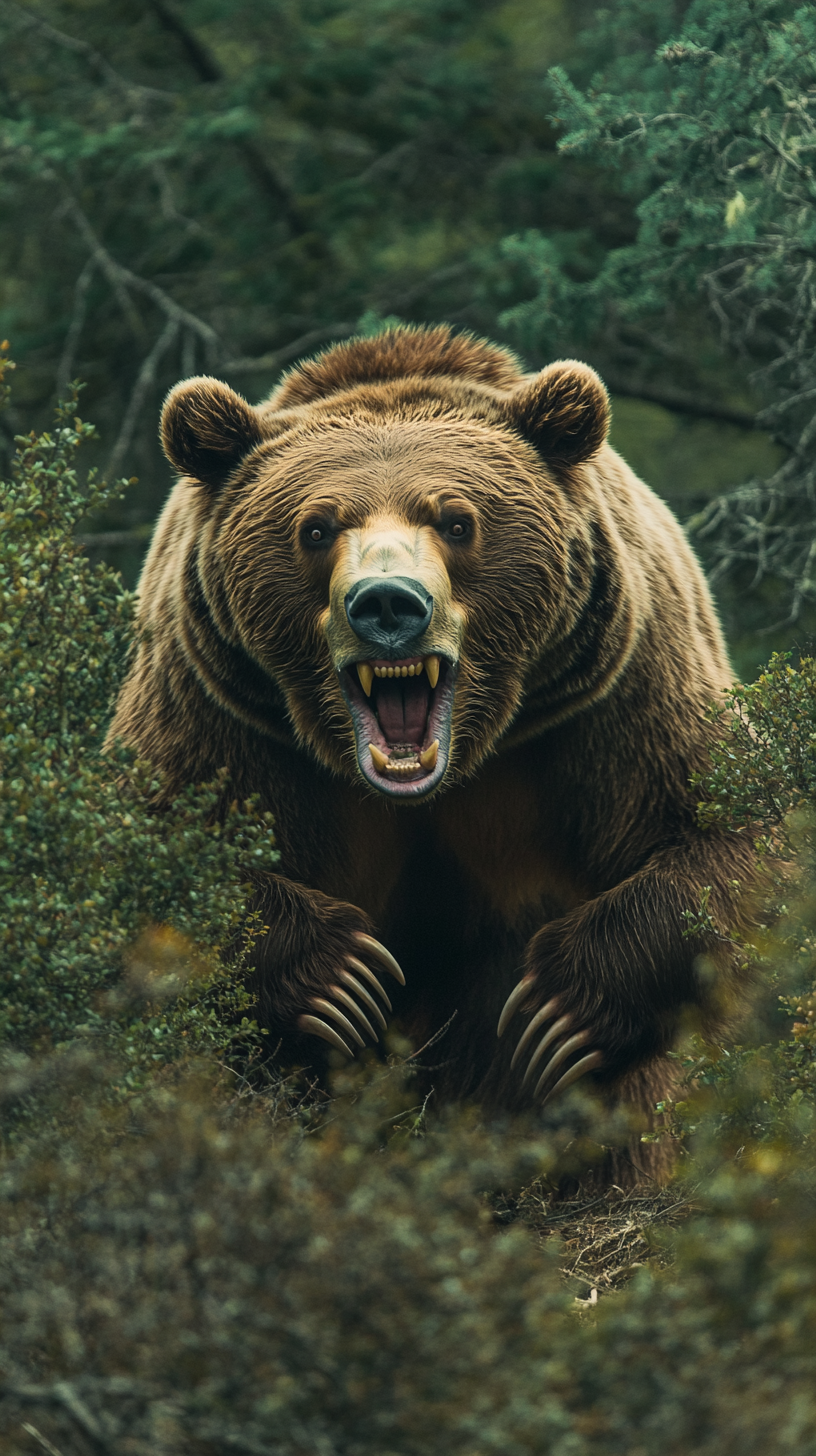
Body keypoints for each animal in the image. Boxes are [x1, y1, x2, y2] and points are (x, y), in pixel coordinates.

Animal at [111, 324, 757, 1176]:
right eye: (316, 527)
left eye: (457, 520)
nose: (388, 604)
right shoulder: (217, 704)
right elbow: (151, 851)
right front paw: (343, 980)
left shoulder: (620, 686)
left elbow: (721, 835)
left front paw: (559, 1008)